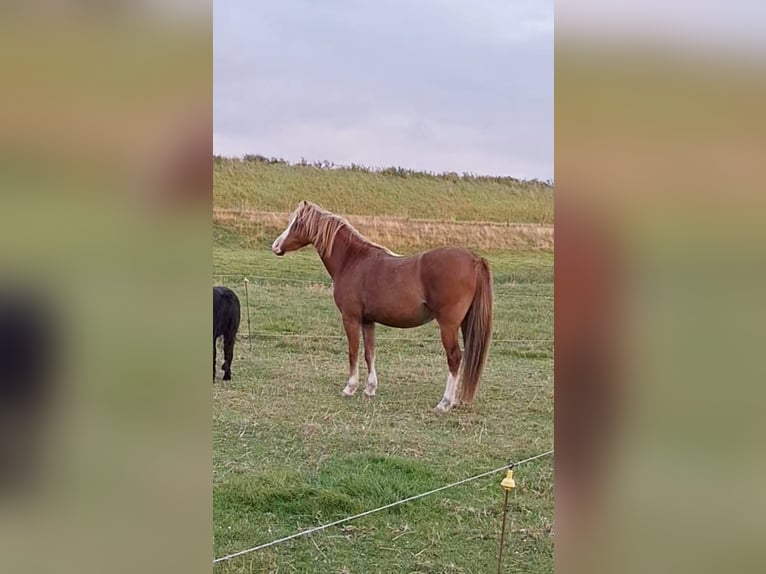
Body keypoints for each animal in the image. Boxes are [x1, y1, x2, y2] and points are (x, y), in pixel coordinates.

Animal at [272, 202, 496, 414]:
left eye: (297, 223)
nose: (275, 246)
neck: (353, 261)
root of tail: (474, 259)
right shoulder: (368, 321)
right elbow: (369, 353)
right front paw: (370, 388)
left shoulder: (351, 318)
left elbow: (353, 351)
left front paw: (350, 387)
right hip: (466, 323)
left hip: (448, 325)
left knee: (454, 357)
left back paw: (445, 403)